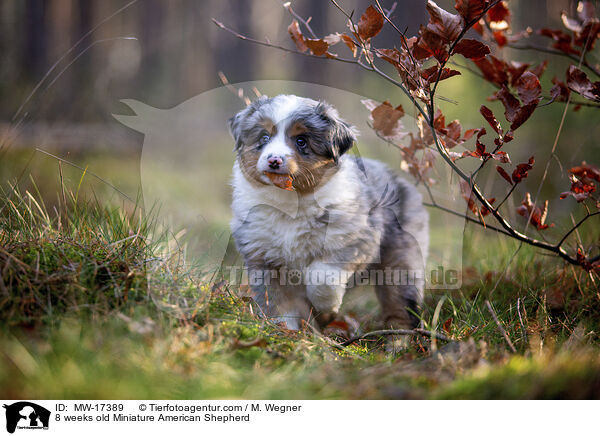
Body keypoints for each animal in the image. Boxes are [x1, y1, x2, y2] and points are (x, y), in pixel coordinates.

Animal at [227, 94, 428, 330]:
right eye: (264, 137)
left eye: (301, 141)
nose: (274, 160)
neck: (290, 202)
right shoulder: (263, 257)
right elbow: (280, 304)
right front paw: (287, 331)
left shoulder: (352, 239)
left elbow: (322, 276)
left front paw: (327, 308)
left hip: (401, 261)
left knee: (400, 303)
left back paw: (399, 336)